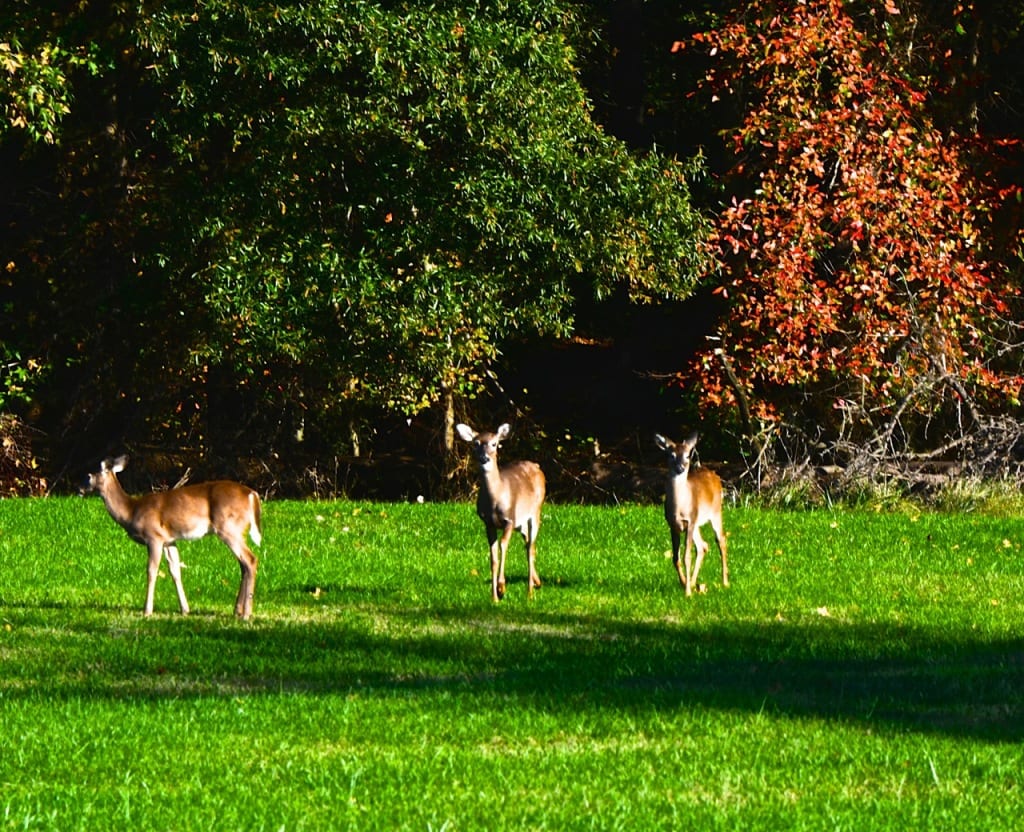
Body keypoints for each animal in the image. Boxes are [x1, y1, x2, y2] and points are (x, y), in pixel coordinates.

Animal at [81, 454, 262, 618]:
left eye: (89, 476)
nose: (80, 489)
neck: (131, 511)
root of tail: (252, 495)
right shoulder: (169, 540)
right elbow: (175, 570)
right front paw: (185, 609)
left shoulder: (154, 537)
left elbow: (152, 570)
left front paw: (147, 611)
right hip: (236, 530)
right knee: (243, 565)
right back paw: (237, 611)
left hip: (228, 528)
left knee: (250, 560)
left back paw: (246, 614)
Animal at [458, 422, 548, 598]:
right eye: (475, 443)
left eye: (494, 444)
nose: (484, 458)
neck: (495, 499)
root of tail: (536, 466)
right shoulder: (488, 523)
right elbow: (493, 557)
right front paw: (494, 597)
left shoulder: (509, 519)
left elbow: (503, 546)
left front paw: (501, 586)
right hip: (520, 523)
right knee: (528, 542)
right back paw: (537, 582)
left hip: (535, 511)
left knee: (530, 546)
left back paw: (530, 591)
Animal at [655, 432, 729, 594]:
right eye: (671, 455)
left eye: (688, 456)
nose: (681, 468)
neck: (679, 508)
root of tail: (714, 475)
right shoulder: (673, 525)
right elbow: (676, 557)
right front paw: (684, 583)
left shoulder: (690, 521)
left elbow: (686, 557)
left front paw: (687, 592)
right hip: (696, 524)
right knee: (703, 546)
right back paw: (695, 583)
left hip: (716, 512)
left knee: (721, 540)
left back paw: (725, 582)